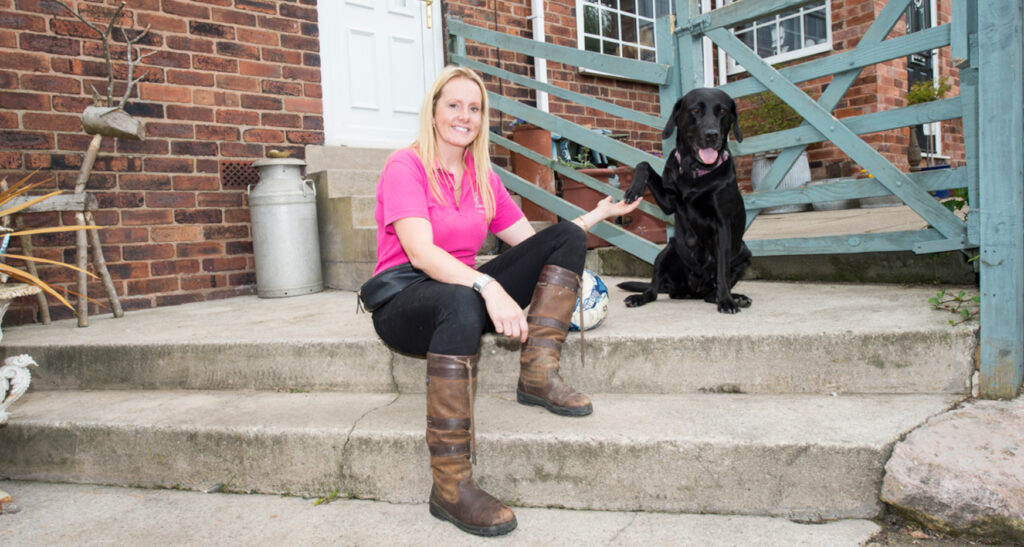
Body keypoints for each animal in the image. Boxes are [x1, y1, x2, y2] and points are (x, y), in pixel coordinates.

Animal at [614, 88, 753, 315]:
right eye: (695, 110)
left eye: (723, 111)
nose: (712, 135)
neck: (694, 170)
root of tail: (690, 290)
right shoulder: (668, 203)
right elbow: (644, 164)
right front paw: (634, 190)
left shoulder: (722, 226)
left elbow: (722, 270)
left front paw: (727, 301)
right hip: (667, 251)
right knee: (654, 290)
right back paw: (639, 297)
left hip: (744, 253)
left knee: (711, 293)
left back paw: (734, 297)